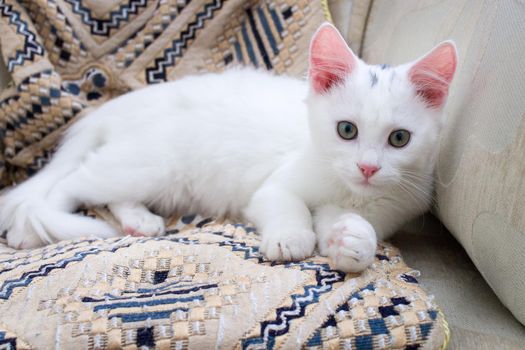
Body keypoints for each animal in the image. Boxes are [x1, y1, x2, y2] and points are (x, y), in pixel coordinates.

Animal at [0, 23, 454, 274]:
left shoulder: (390, 208)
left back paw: (139, 221)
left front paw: (353, 241)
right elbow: (287, 205)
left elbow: (349, 225)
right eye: (346, 130)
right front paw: (291, 238)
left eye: (399, 139)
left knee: (108, 193)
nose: (368, 168)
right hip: (150, 163)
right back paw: (31, 228)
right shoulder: (275, 185)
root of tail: (121, 104)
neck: (348, 191)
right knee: (64, 186)